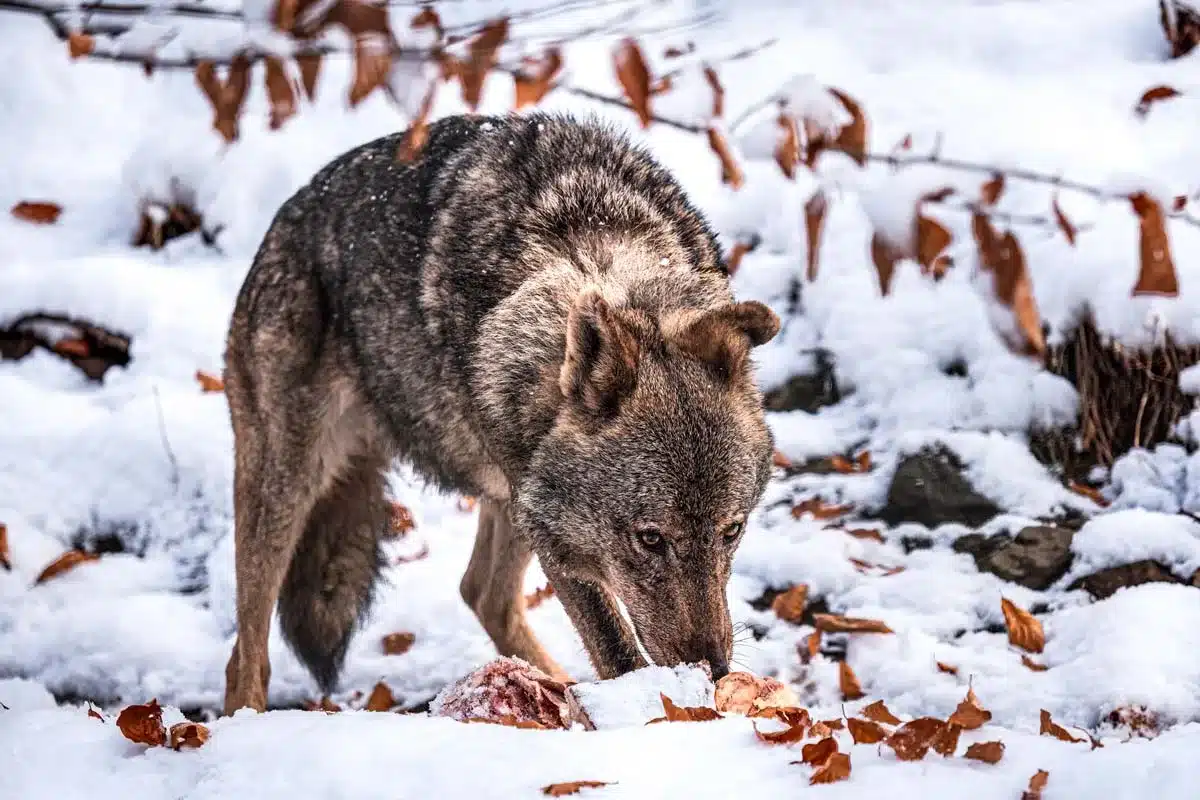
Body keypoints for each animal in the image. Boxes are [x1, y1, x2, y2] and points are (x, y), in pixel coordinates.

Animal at [221, 112, 780, 715]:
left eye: (732, 531)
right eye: (651, 538)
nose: (714, 669)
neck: (593, 253)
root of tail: (285, 219)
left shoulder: (537, 505)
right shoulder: (558, 541)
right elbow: (620, 654)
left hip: (511, 494)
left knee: (481, 593)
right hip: (290, 486)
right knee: (246, 655)